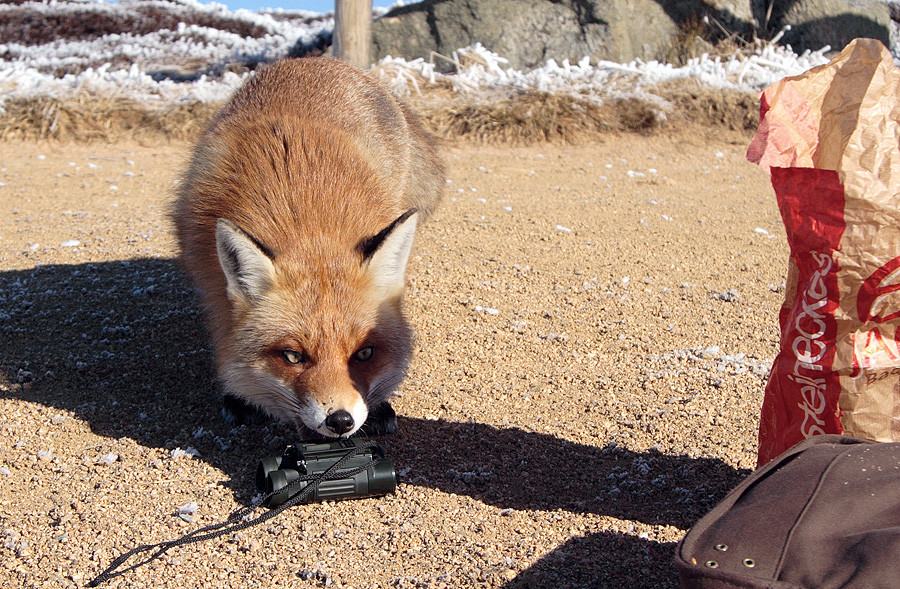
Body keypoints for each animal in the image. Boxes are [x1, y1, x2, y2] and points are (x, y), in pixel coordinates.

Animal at [172, 58, 442, 436]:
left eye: (364, 353)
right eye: (293, 356)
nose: (340, 420)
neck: (302, 212)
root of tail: (321, 61)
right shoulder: (207, 277)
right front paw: (238, 395)